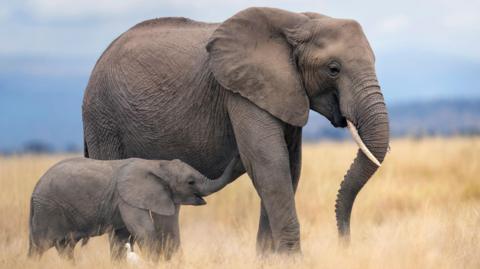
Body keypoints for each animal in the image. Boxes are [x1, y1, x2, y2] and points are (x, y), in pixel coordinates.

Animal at [27, 155, 239, 260]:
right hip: (48, 210)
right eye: (190, 182)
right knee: (40, 246)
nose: (238, 155)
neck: (158, 164)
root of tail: (34, 190)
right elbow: (144, 230)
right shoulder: (127, 198)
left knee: (65, 248)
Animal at [81, 6, 390, 253]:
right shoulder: (241, 91)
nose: (344, 243)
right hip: (104, 120)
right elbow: (269, 164)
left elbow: (289, 167)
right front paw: (292, 259)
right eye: (333, 69)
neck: (298, 21)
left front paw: (270, 260)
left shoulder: (284, 91)